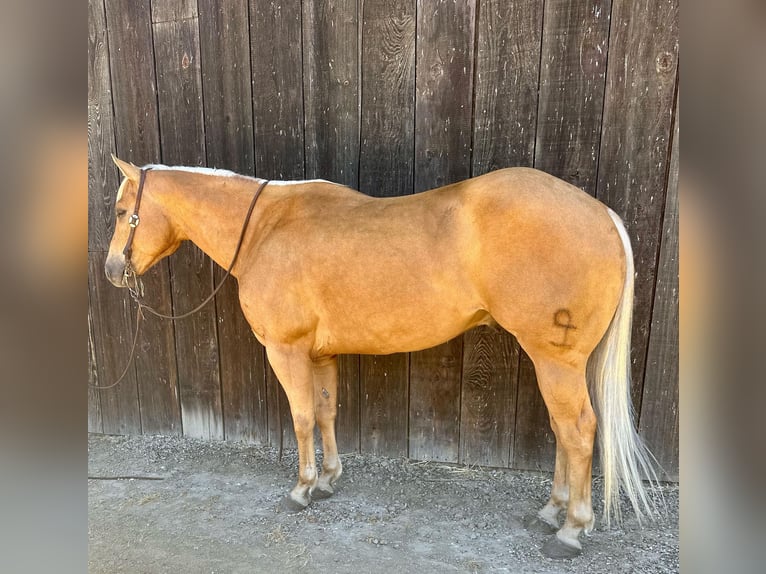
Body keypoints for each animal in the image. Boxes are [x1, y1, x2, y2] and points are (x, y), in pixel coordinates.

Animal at [103, 156, 660, 560]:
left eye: (120, 211)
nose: (111, 269)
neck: (266, 228)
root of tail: (601, 215)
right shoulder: (319, 354)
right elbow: (326, 412)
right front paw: (329, 480)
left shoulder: (286, 350)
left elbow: (302, 417)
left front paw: (302, 488)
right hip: (562, 364)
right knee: (565, 432)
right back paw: (551, 512)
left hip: (555, 360)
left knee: (578, 431)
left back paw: (570, 530)